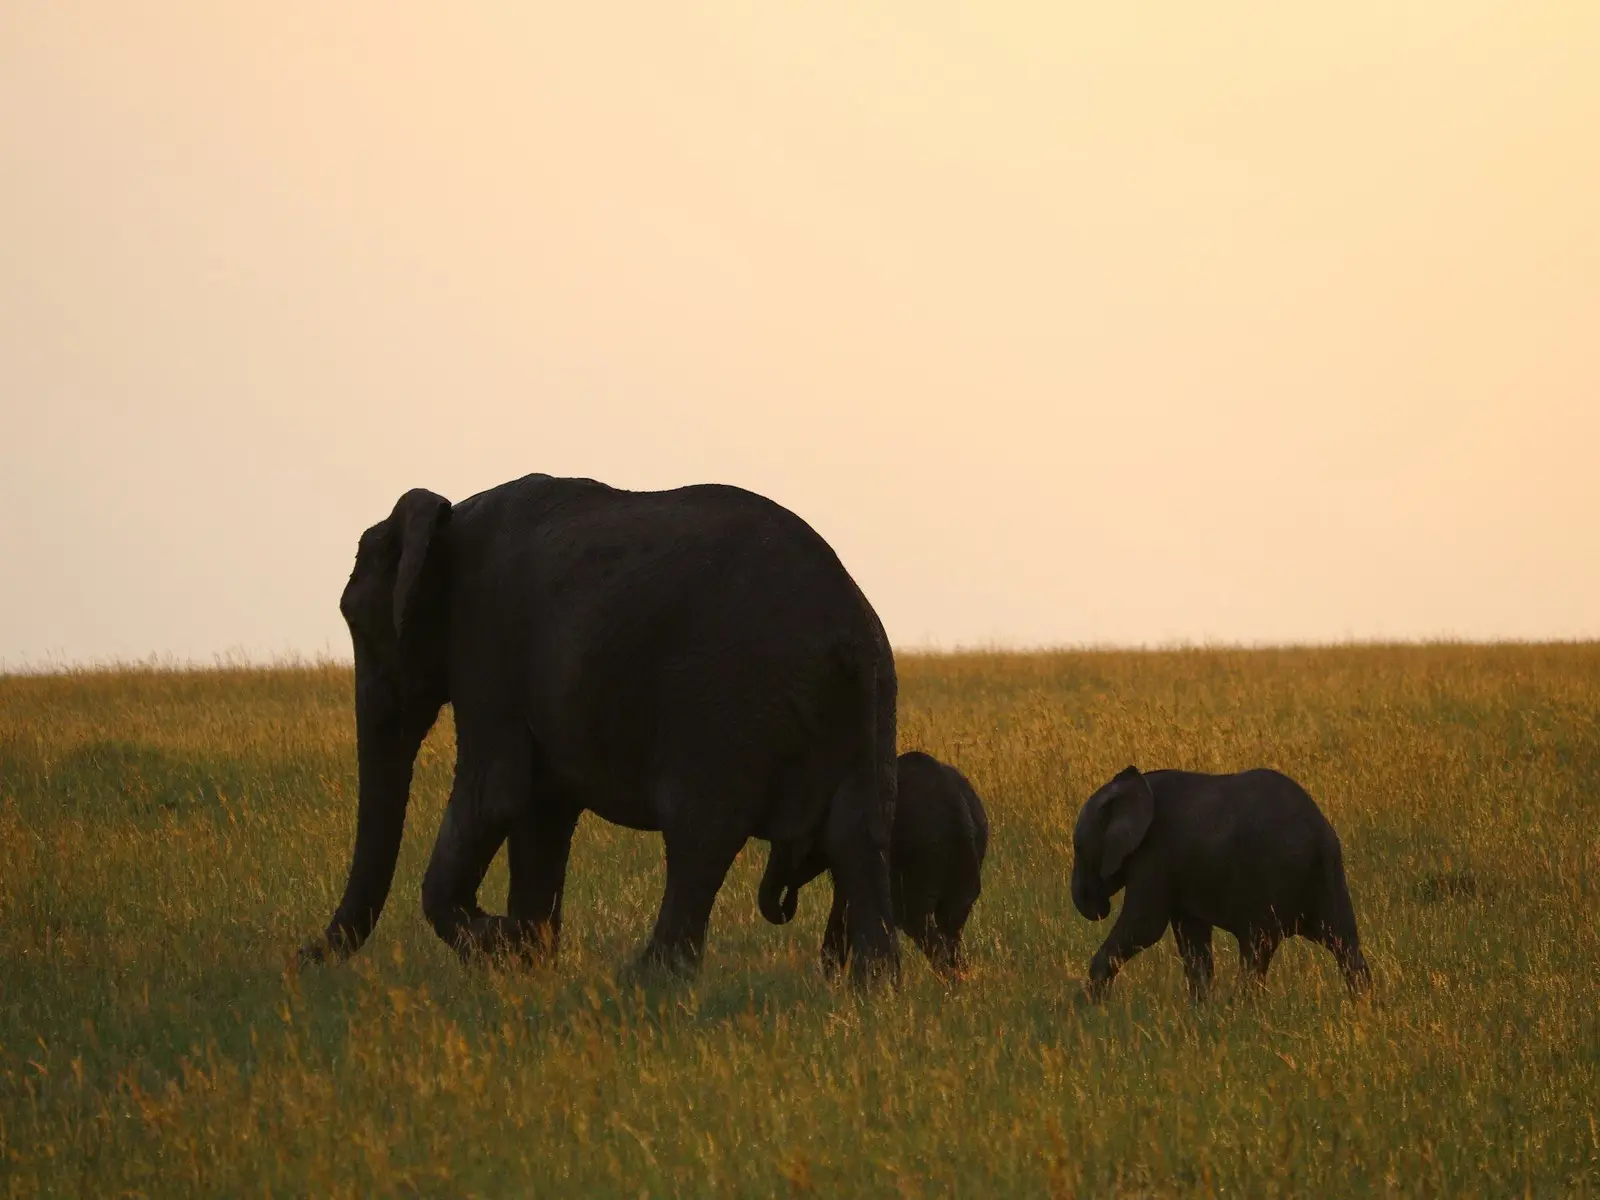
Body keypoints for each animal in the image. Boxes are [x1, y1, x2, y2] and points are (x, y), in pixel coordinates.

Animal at [298, 473, 901, 985]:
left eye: (360, 624)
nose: (300, 955)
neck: (449, 517)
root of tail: (850, 631)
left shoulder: (486, 642)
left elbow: (496, 793)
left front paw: (503, 944)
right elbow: (539, 810)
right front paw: (528, 960)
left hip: (728, 705)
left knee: (701, 833)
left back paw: (648, 981)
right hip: (868, 707)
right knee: (855, 832)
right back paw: (872, 989)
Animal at [758, 750, 988, 979]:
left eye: (784, 844)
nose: (788, 899)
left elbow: (844, 906)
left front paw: (829, 982)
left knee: (920, 923)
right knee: (951, 924)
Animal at [1070, 766, 1370, 1001]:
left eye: (1078, 848)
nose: (1097, 906)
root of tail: (1318, 830)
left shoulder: (1154, 853)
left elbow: (1144, 927)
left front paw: (1089, 1007)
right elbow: (1191, 937)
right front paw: (1200, 1012)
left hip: (1274, 874)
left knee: (1256, 947)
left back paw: (1241, 1010)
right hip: (1328, 874)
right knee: (1343, 940)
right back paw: (1363, 1006)